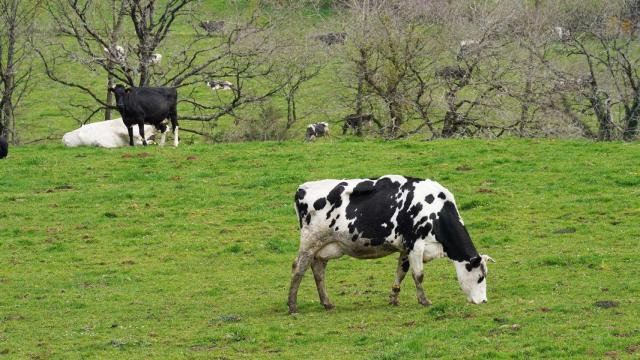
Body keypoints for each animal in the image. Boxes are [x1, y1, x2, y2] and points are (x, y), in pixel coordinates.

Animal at [290, 176, 496, 314]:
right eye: (480, 277)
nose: (485, 301)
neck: (435, 212)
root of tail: (303, 187)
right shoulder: (415, 245)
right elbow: (418, 275)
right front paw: (424, 300)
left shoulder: (406, 248)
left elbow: (401, 272)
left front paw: (394, 298)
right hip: (310, 241)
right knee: (298, 268)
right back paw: (292, 306)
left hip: (324, 247)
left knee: (318, 270)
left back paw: (326, 303)